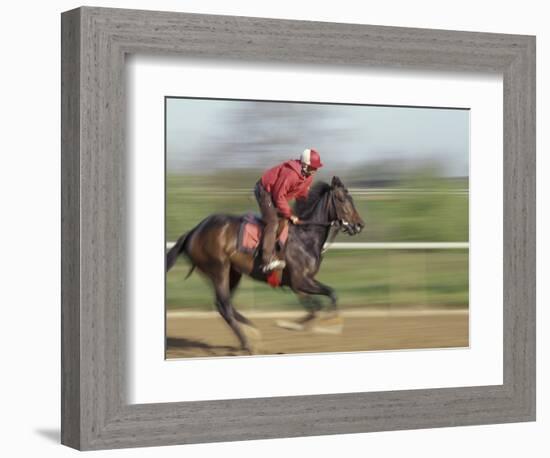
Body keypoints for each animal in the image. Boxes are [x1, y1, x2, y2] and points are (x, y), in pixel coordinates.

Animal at [167, 176, 366, 354]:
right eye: (342, 199)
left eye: (351, 198)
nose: (359, 225)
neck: (305, 236)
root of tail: (194, 231)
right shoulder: (300, 281)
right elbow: (321, 302)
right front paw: (325, 325)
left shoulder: (300, 283)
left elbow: (324, 300)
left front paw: (304, 324)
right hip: (218, 269)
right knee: (224, 305)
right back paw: (248, 343)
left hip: (233, 273)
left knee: (223, 305)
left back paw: (252, 332)